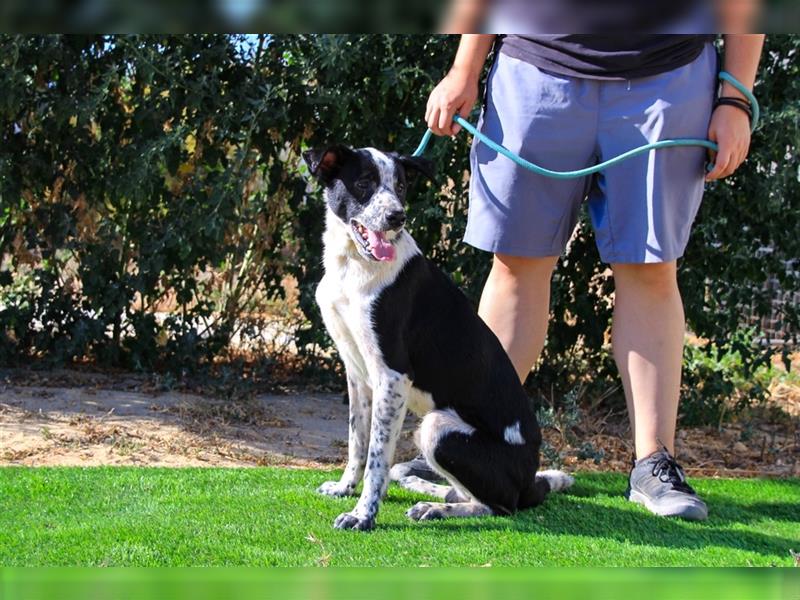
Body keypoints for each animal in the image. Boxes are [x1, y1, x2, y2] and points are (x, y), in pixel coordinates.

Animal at [304, 144, 572, 528]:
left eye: (401, 186)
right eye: (364, 183)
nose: (397, 217)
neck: (354, 265)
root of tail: (528, 481)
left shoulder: (393, 375)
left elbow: (376, 456)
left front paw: (363, 515)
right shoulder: (357, 373)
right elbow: (358, 442)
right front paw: (345, 488)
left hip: (438, 429)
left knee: (499, 506)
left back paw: (436, 508)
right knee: (457, 490)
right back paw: (422, 488)